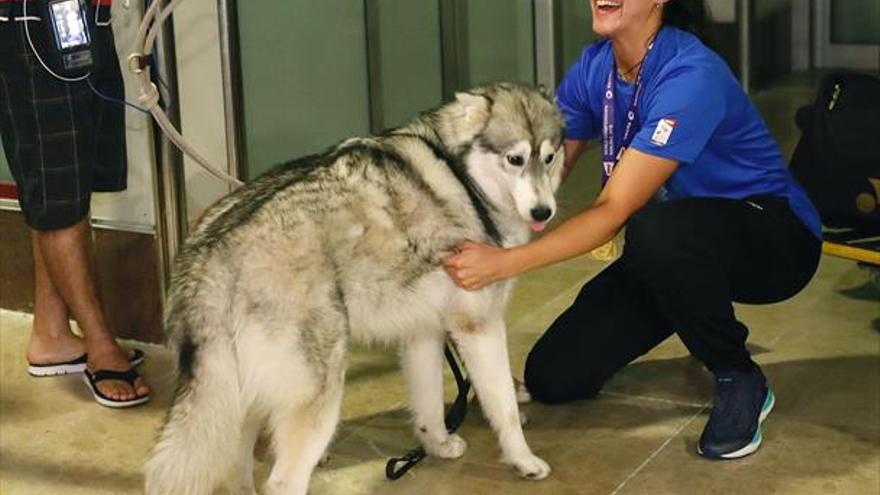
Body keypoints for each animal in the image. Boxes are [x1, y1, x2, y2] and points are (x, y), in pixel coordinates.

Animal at [144, 83, 564, 494]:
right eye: (515, 159)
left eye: (549, 157)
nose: (544, 212)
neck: (463, 177)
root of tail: (209, 255)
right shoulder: (479, 327)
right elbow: (505, 408)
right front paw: (524, 461)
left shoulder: (422, 332)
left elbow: (428, 407)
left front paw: (438, 446)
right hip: (318, 394)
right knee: (282, 482)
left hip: (240, 400)